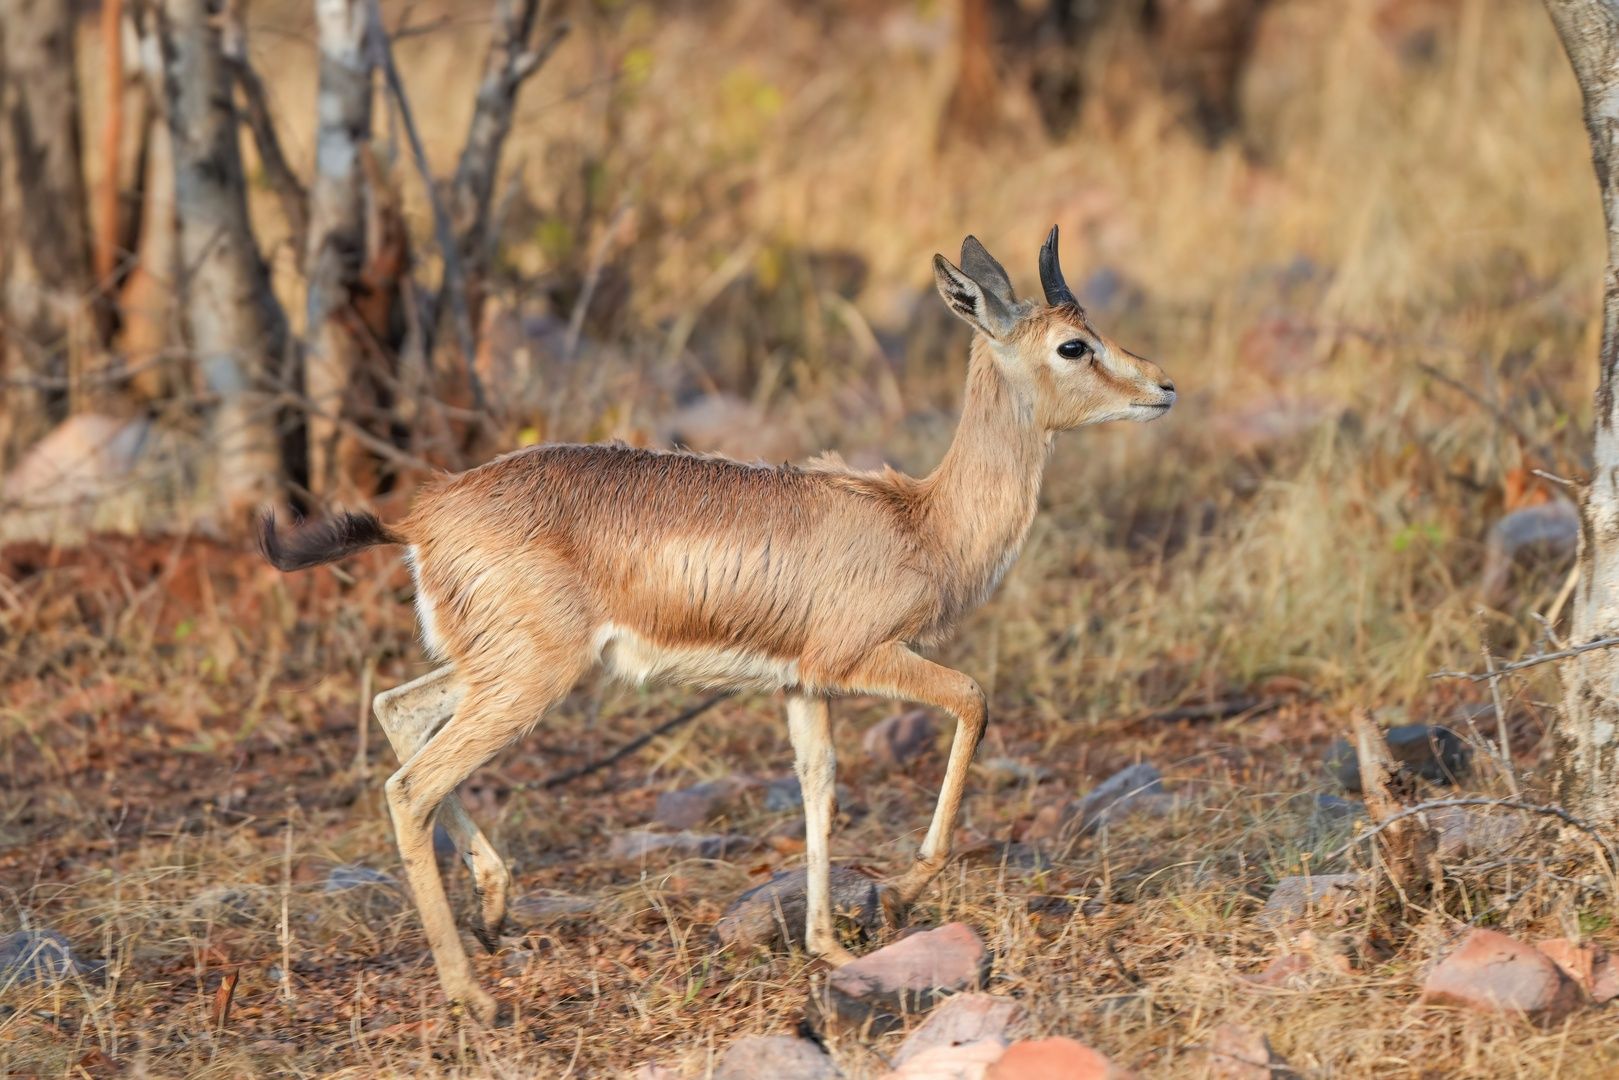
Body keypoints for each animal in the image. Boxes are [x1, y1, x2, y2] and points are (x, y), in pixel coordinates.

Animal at [259, 228, 1175, 1023]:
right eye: (1073, 346)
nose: (1163, 387)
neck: (921, 522)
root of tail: (421, 518)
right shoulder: (862, 659)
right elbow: (974, 700)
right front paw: (903, 892)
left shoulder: (803, 686)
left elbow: (818, 784)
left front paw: (830, 947)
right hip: (528, 678)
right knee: (411, 786)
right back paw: (473, 997)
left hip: (489, 666)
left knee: (397, 709)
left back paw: (493, 909)